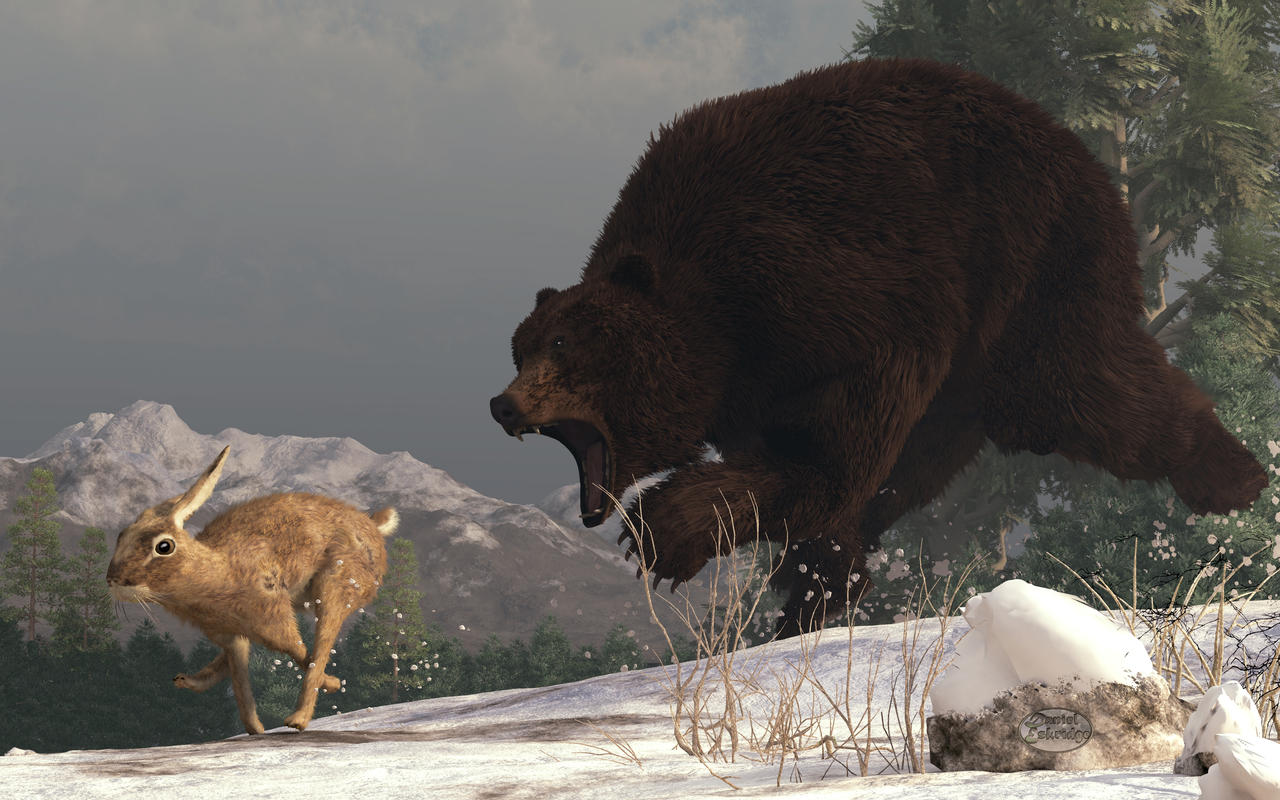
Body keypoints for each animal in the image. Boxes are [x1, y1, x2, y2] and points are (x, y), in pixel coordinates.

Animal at [106, 445, 398, 734]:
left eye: (164, 546)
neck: (214, 570)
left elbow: (299, 653)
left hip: (335, 586)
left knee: (321, 645)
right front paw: (255, 729)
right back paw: (186, 680)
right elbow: (240, 684)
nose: (112, 580)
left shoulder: (272, 617)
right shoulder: (230, 635)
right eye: (121, 536)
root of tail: (374, 528)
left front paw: (332, 683)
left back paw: (298, 719)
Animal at [489, 58, 1269, 637]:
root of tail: (1071, 140)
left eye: (562, 342)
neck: (714, 324)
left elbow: (828, 447)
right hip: (974, 364)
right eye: (519, 348)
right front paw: (809, 580)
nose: (502, 404)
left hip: (1027, 269)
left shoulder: (825, 289)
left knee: (1079, 388)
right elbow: (804, 468)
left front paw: (665, 530)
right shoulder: (750, 379)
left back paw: (1231, 476)